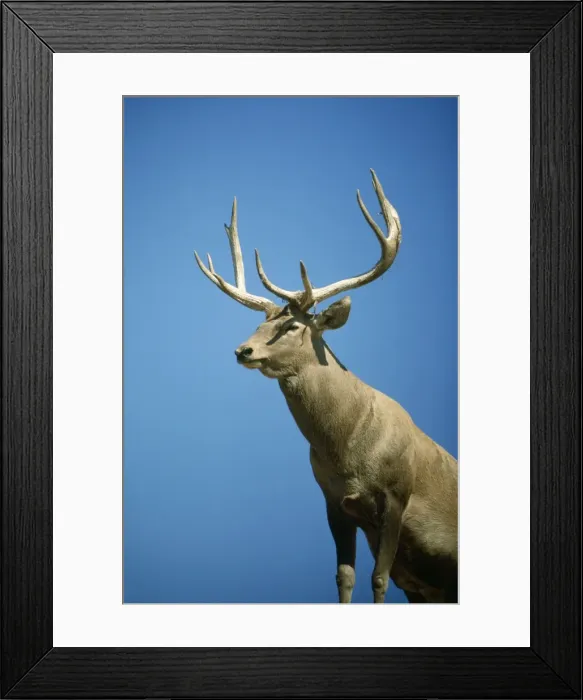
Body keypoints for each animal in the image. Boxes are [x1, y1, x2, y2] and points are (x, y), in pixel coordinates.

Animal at [194, 170, 458, 604]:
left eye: (292, 325)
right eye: (261, 323)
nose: (242, 350)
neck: (348, 453)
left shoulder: (396, 494)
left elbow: (378, 579)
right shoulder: (334, 501)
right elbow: (344, 577)